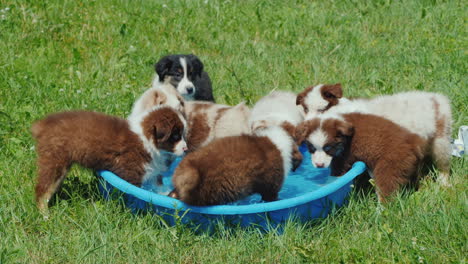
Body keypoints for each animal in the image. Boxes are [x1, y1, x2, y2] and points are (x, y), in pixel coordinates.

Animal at [30, 106, 188, 211]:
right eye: (175, 136)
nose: (186, 149)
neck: (147, 138)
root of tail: (42, 125)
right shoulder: (131, 171)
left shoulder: (152, 173)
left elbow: (158, 187)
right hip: (55, 160)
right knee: (43, 189)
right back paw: (45, 214)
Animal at [296, 84, 454, 186]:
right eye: (305, 109)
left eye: (322, 109)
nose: (305, 126)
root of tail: (437, 98)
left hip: (441, 139)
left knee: (443, 163)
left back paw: (444, 182)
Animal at [296, 112, 428, 201]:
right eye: (311, 148)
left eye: (328, 148)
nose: (319, 165)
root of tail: (413, 142)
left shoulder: (343, 158)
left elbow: (335, 175)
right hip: (409, 166)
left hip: (389, 166)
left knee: (387, 191)